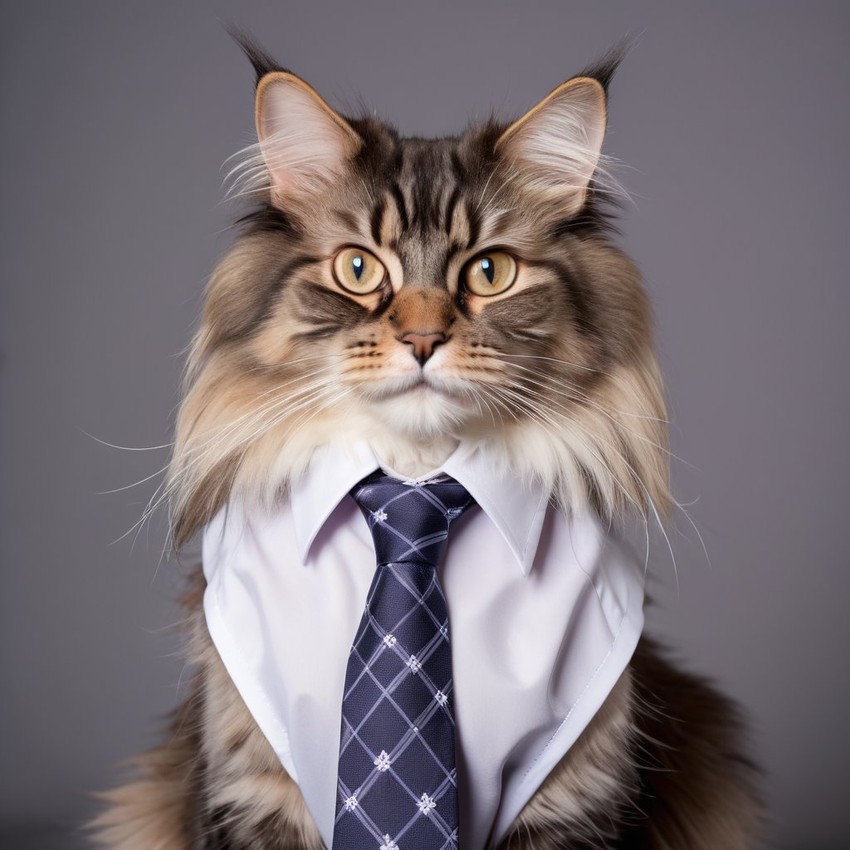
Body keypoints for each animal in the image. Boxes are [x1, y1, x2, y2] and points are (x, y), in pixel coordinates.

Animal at [93, 36, 760, 848]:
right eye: (357, 269)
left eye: (490, 272)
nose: (420, 339)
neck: (414, 484)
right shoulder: (247, 788)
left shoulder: (577, 789)